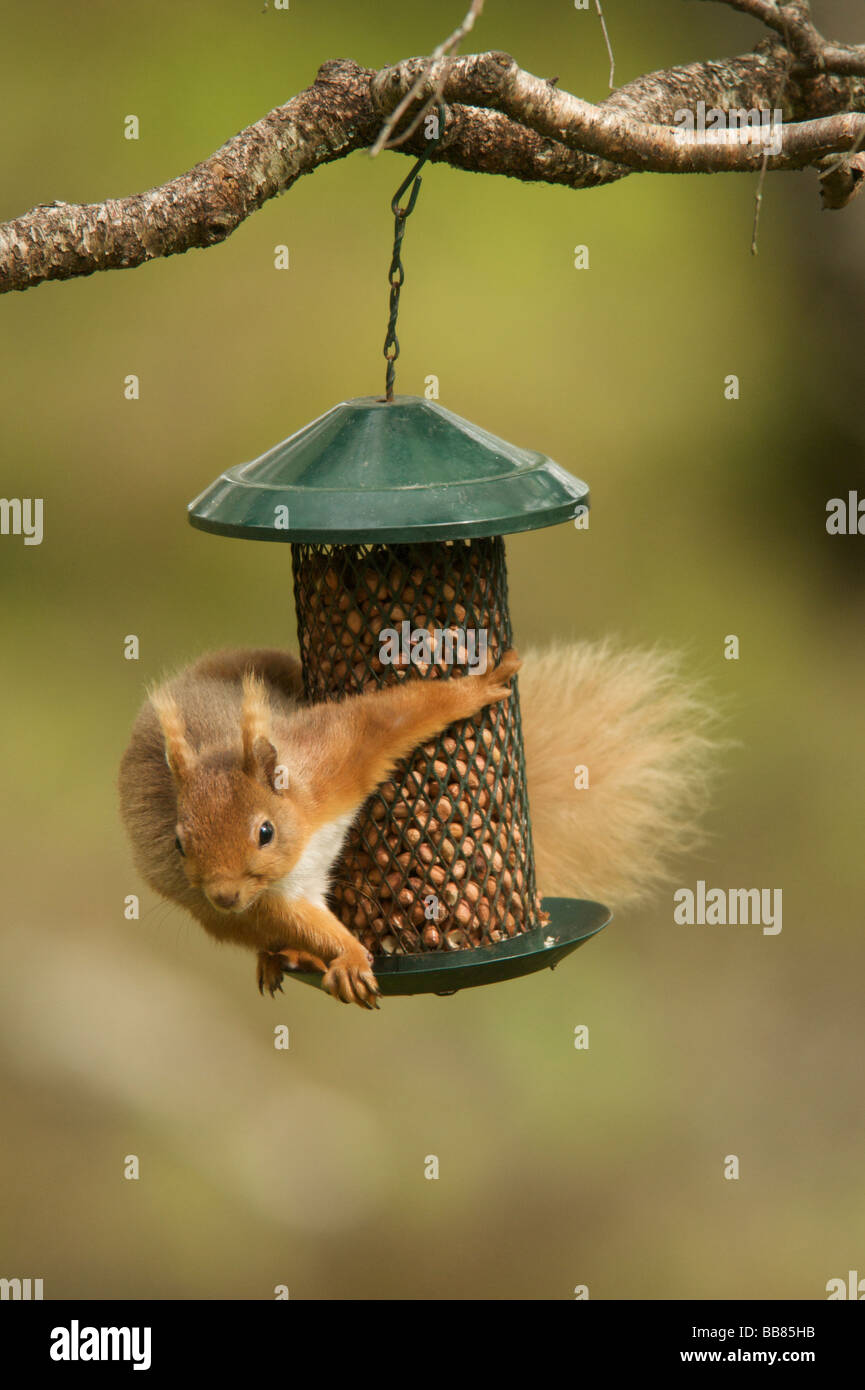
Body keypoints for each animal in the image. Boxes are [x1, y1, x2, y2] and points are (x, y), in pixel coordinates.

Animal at [118, 641, 716, 1009]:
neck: (305, 833)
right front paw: (348, 955)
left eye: (264, 831)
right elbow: (304, 921)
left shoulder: (333, 762)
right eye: (178, 842)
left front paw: (475, 688)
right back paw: (281, 955)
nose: (222, 896)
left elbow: (388, 718)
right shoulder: (270, 898)